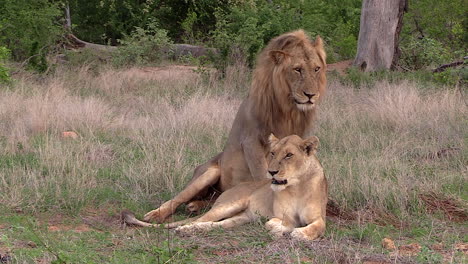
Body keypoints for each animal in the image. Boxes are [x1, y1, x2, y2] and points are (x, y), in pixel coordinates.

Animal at [126, 135, 328, 240]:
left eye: (289, 155)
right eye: (272, 153)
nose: (271, 172)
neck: (296, 187)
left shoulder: (318, 217)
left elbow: (318, 227)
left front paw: (298, 233)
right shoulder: (281, 216)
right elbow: (279, 223)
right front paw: (280, 228)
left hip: (241, 217)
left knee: (216, 224)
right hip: (228, 203)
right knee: (194, 218)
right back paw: (183, 229)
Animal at [144, 29, 328, 223]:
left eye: (316, 69)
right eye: (297, 69)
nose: (311, 95)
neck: (287, 108)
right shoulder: (251, 141)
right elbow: (262, 173)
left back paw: (195, 206)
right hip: (208, 174)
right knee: (179, 198)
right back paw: (156, 214)